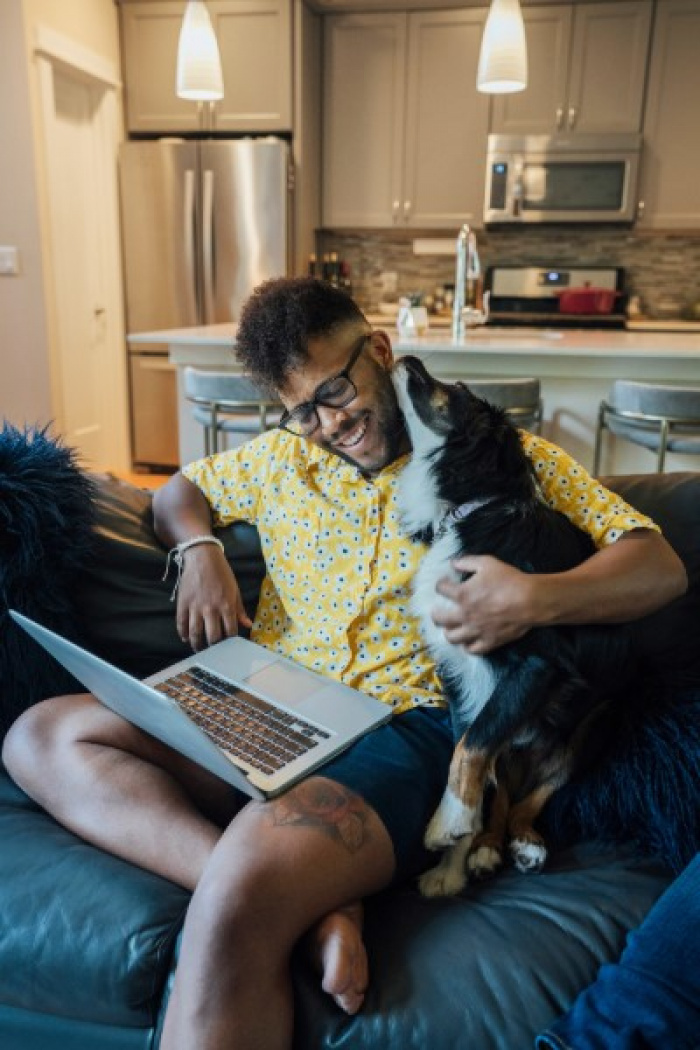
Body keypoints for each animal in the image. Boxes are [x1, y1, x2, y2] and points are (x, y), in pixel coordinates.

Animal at [394, 359, 633, 894]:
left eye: (459, 388)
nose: (408, 359)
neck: (475, 509)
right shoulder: (459, 673)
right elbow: (470, 748)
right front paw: (452, 862)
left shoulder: (537, 663)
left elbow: (471, 745)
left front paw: (446, 823)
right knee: (506, 784)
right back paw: (486, 848)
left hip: (600, 720)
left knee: (542, 790)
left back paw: (525, 842)